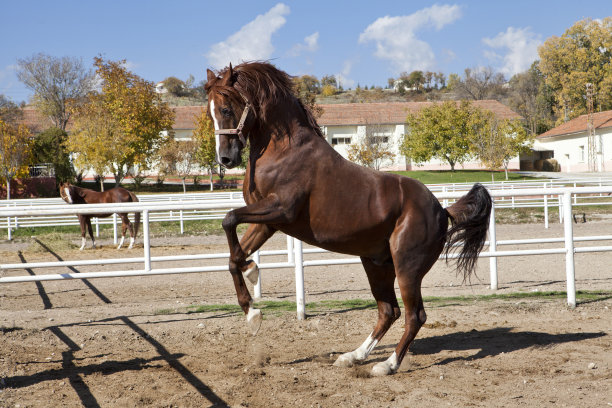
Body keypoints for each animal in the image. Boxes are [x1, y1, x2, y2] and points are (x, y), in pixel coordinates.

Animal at [206, 62, 492, 378]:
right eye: (209, 112)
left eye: (226, 109)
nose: (225, 159)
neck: (284, 151)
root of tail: (442, 210)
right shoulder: (268, 221)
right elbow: (233, 252)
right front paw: (252, 305)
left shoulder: (280, 210)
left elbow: (229, 219)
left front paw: (252, 286)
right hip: (377, 265)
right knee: (388, 311)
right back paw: (352, 357)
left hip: (407, 267)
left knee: (414, 315)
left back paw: (386, 365)